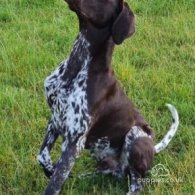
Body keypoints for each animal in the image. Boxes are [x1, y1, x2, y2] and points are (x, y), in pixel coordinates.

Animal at [37, 0, 180, 194]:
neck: (78, 65)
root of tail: (153, 147)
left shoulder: (74, 141)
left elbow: (55, 182)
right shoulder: (55, 119)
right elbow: (43, 157)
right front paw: (50, 169)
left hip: (136, 134)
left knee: (136, 183)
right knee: (115, 172)